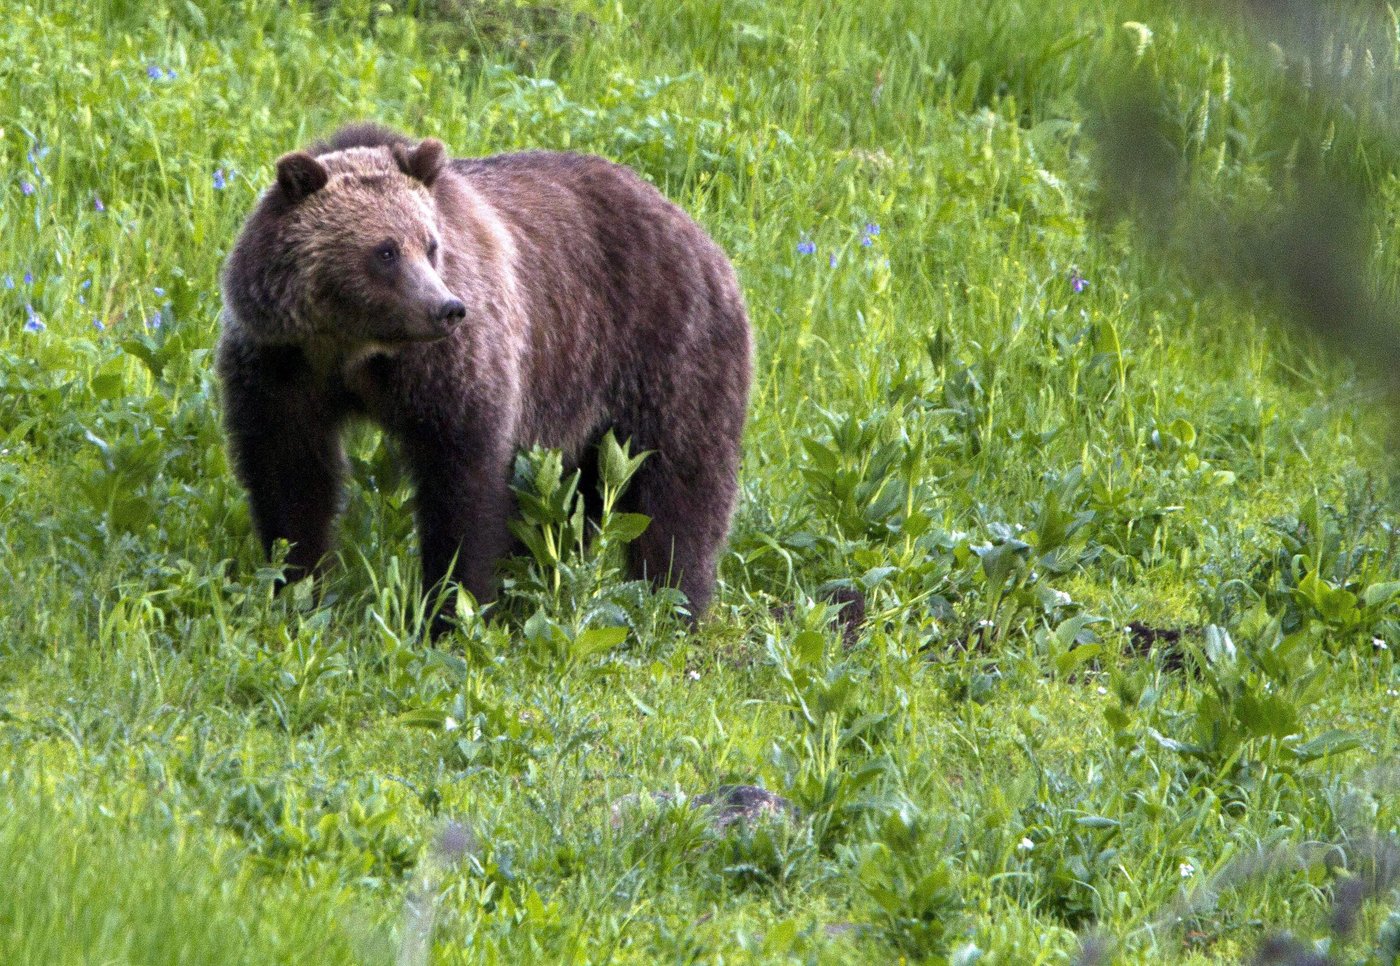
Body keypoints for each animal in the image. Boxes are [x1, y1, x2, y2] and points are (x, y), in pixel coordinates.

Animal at [217, 123, 752, 634]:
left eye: (430, 245)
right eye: (385, 251)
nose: (446, 308)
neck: (354, 349)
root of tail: (694, 227)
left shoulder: (450, 369)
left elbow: (463, 482)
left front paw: (451, 609)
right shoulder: (282, 366)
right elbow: (290, 475)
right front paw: (296, 585)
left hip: (665, 349)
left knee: (681, 484)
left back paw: (674, 603)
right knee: (578, 496)